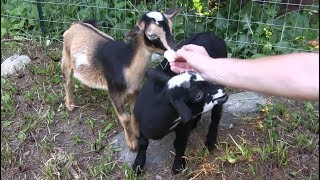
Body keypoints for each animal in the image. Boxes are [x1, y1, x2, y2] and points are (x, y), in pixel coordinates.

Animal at [61, 9, 179, 150]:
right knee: (67, 81)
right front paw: (132, 144)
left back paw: (85, 87)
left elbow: (134, 112)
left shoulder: (135, 89)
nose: (175, 48)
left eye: (171, 28)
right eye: (151, 35)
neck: (127, 63)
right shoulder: (114, 91)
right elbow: (125, 118)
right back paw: (70, 105)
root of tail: (75, 24)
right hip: (66, 58)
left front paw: (137, 133)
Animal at [132, 31, 228, 174]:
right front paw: (138, 165)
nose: (220, 86)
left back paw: (210, 141)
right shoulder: (140, 123)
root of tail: (209, 33)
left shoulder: (182, 127)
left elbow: (179, 144)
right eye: (198, 95)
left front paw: (178, 165)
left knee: (216, 118)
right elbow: (143, 143)